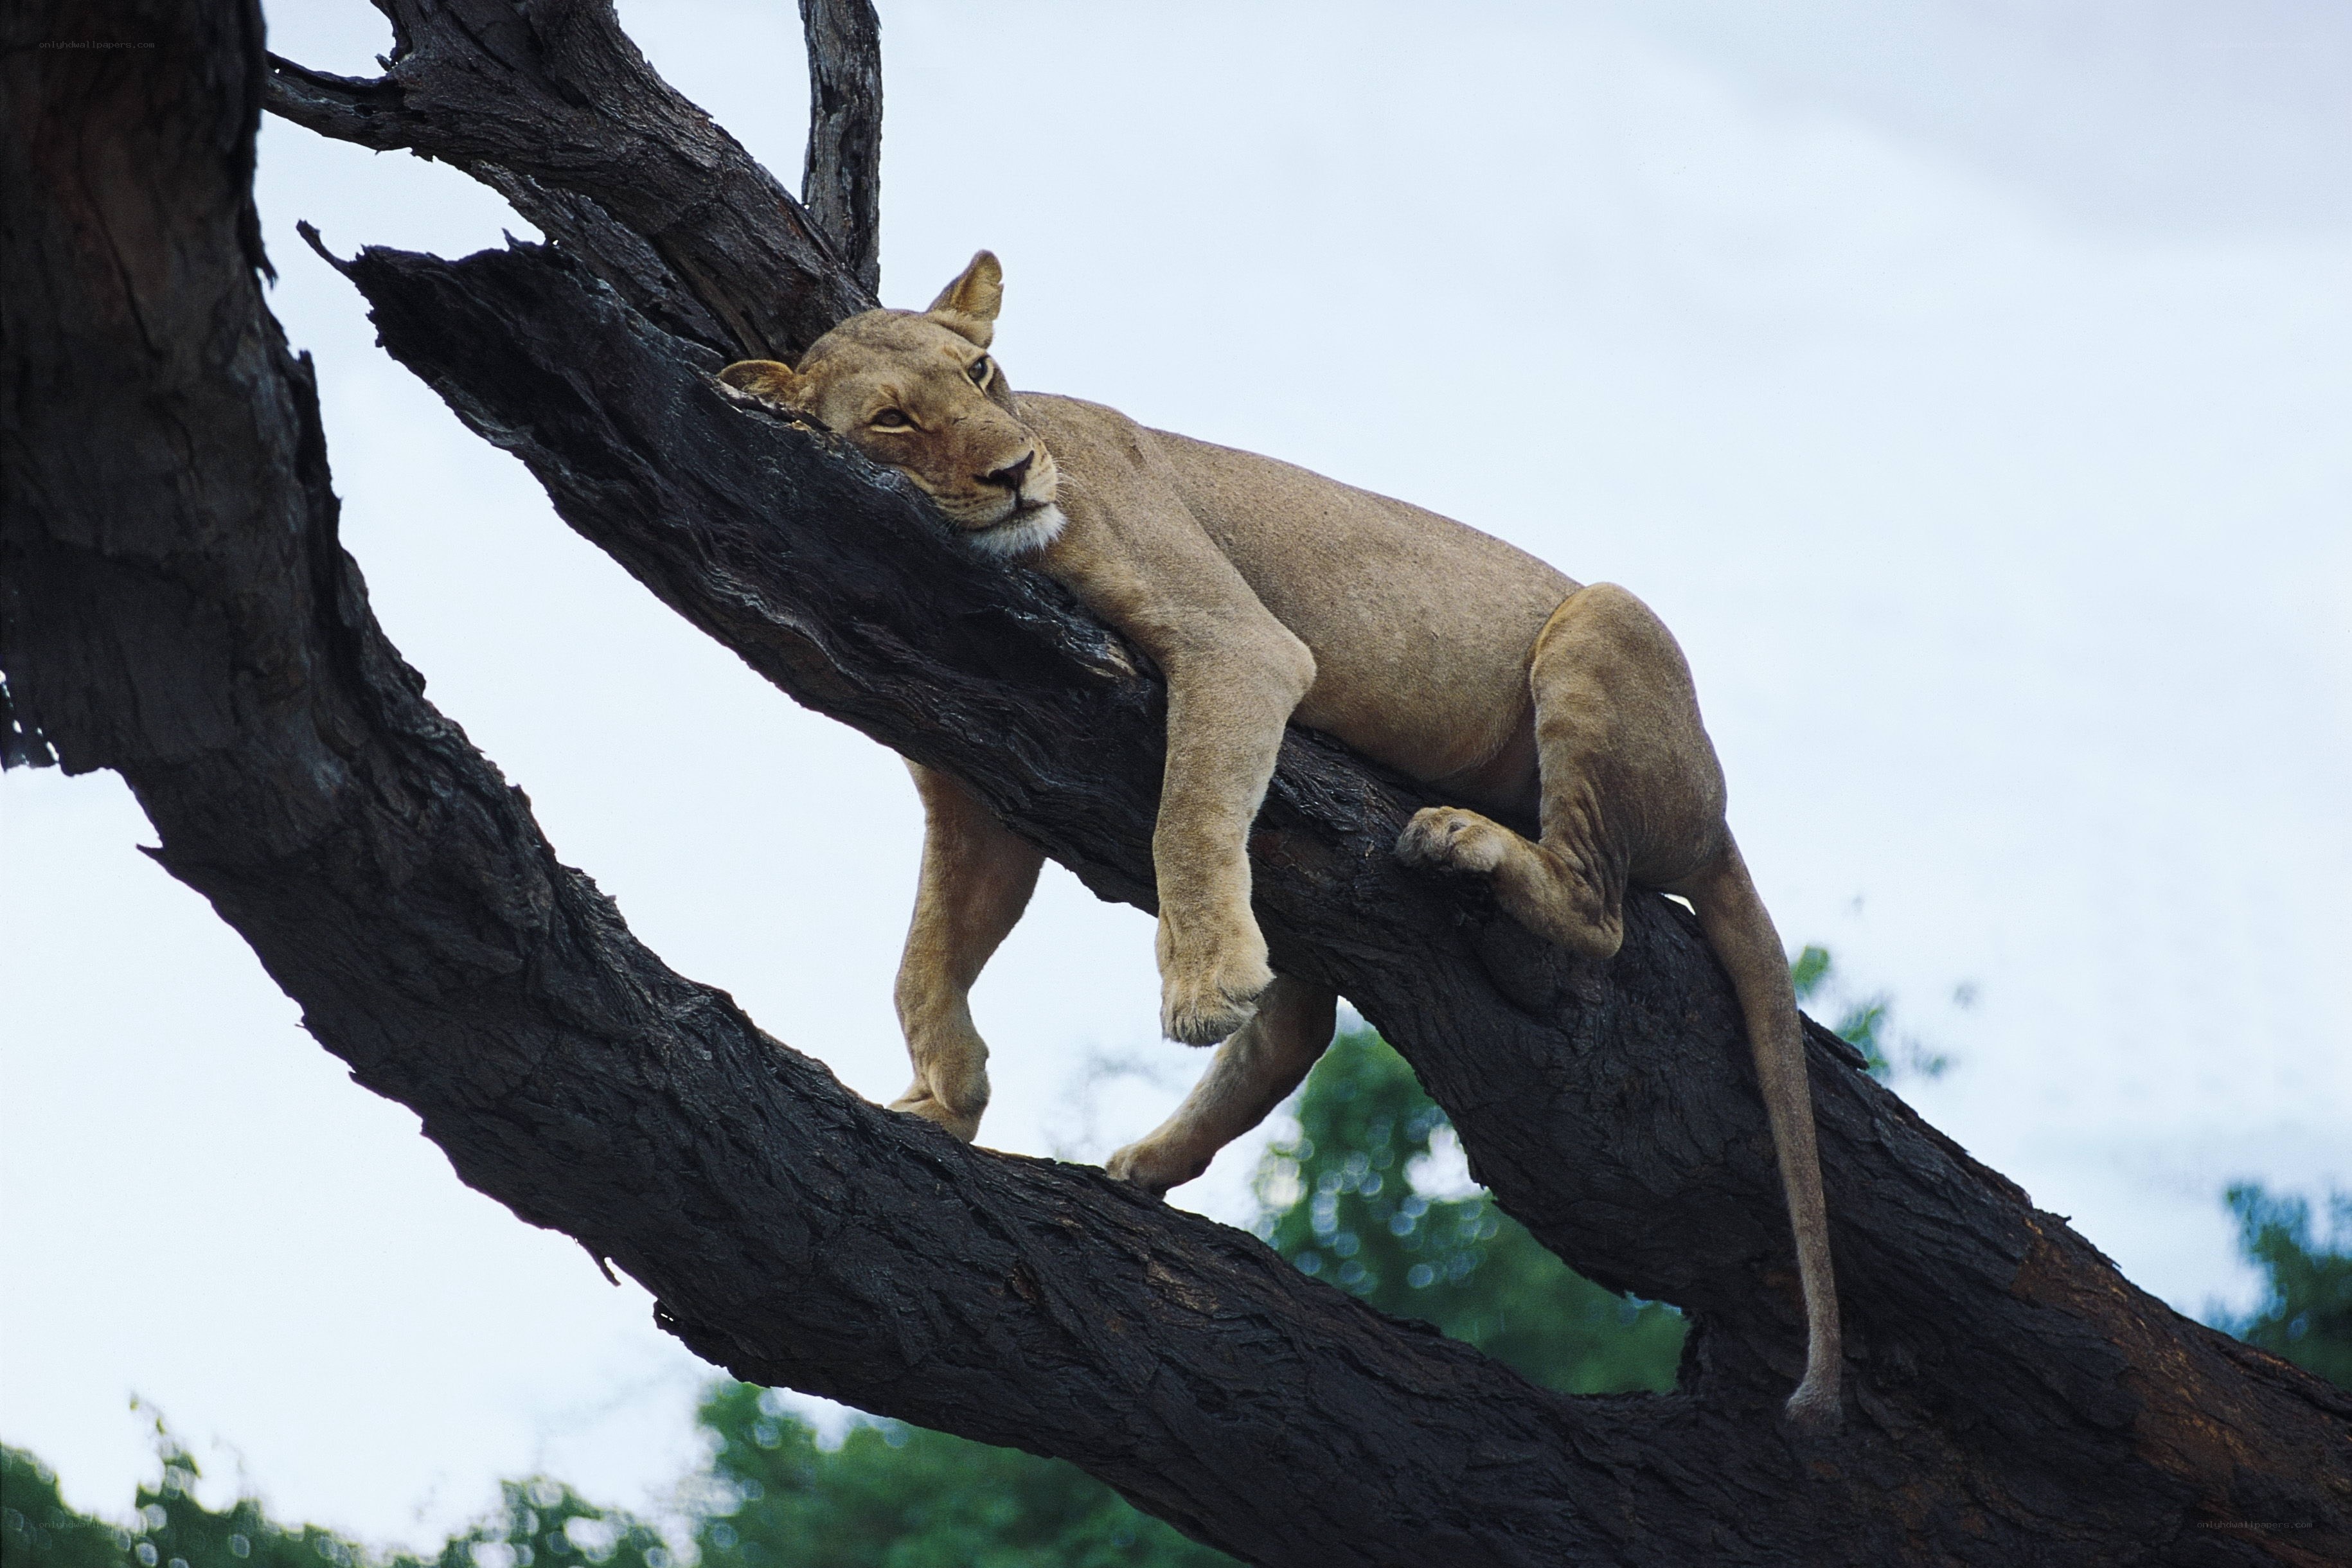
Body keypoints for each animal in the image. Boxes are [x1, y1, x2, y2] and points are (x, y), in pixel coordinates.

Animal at [718, 252, 1843, 1430]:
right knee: (1303, 1024)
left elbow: (1187, 813)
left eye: (979, 372)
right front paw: (947, 1098)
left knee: (1600, 915)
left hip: (1604, 622)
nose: (1018, 472)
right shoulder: (975, 803)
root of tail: (1718, 815)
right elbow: (922, 957)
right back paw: (1150, 1160)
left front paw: (1199, 984)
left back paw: (1458, 843)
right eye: (893, 419)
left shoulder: (1237, 642)